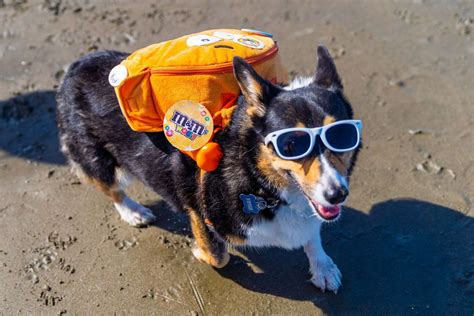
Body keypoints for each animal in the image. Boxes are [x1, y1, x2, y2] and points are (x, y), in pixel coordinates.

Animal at [56, 45, 360, 292]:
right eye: (291, 144)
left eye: (343, 136)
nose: (337, 194)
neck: (257, 177)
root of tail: (76, 65)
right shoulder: (200, 211)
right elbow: (219, 255)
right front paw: (199, 251)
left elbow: (313, 236)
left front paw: (323, 268)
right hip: (96, 160)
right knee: (112, 188)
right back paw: (134, 212)